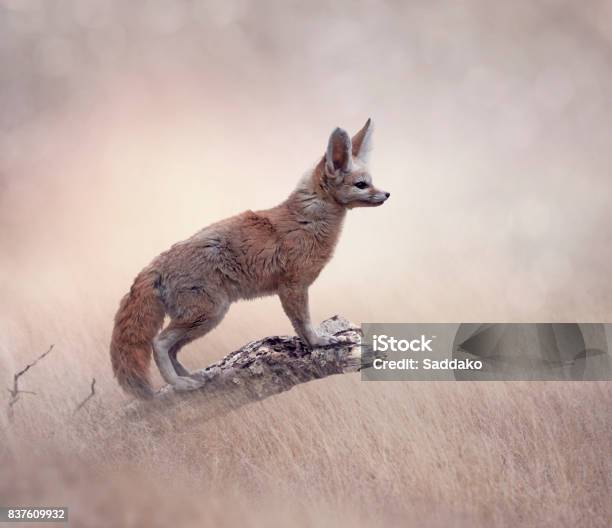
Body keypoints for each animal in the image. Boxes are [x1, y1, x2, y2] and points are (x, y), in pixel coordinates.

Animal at [110, 119, 388, 398]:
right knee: (159, 343)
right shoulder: (293, 287)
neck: (308, 220)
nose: (387, 194)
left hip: (206, 319)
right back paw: (180, 384)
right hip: (207, 314)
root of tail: (156, 263)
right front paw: (319, 342)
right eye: (362, 184)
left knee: (173, 350)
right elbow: (303, 324)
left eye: (371, 181)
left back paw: (193, 377)